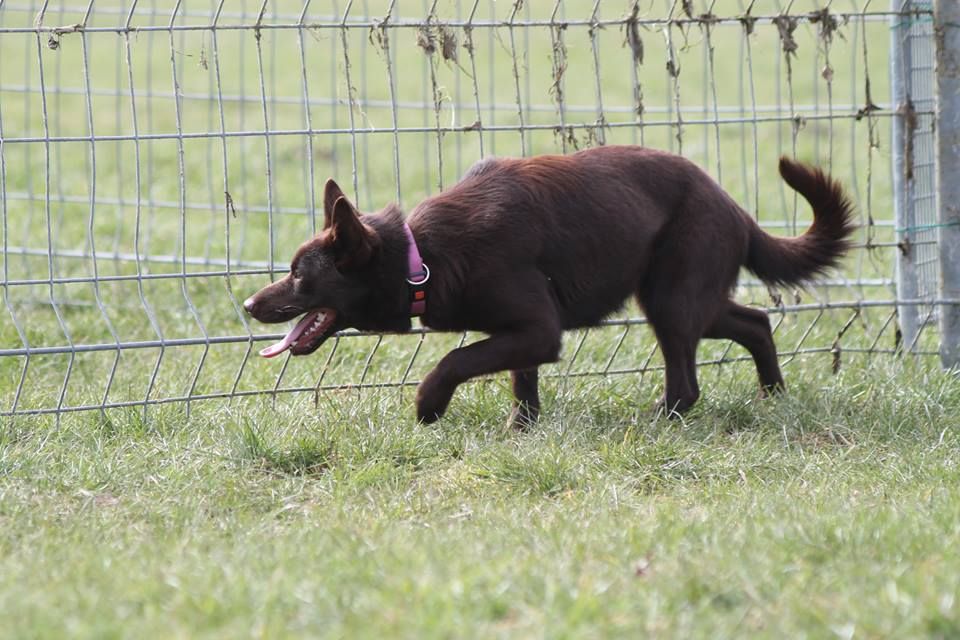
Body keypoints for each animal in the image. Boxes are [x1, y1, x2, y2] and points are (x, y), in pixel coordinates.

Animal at [246, 145, 856, 424]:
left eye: (299, 276)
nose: (249, 304)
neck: (423, 258)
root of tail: (735, 209)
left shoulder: (538, 330)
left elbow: (455, 360)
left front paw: (428, 407)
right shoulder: (524, 333)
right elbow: (521, 380)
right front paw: (525, 428)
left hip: (672, 299)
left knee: (687, 384)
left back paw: (662, 419)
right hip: (686, 299)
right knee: (756, 322)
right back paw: (773, 396)